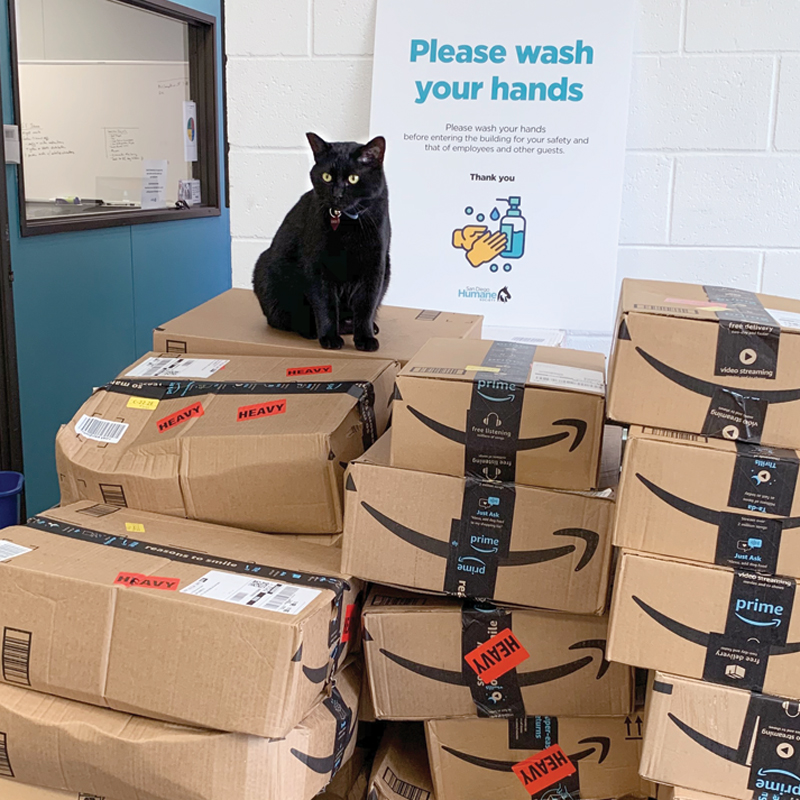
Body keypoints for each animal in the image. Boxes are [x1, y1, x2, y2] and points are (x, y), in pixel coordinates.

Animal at [253, 132, 390, 350]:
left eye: (353, 179)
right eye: (327, 177)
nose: (337, 194)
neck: (346, 224)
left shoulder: (375, 266)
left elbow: (366, 305)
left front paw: (365, 338)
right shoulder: (317, 266)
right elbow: (326, 305)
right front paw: (329, 337)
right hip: (265, 269)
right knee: (283, 318)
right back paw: (312, 330)